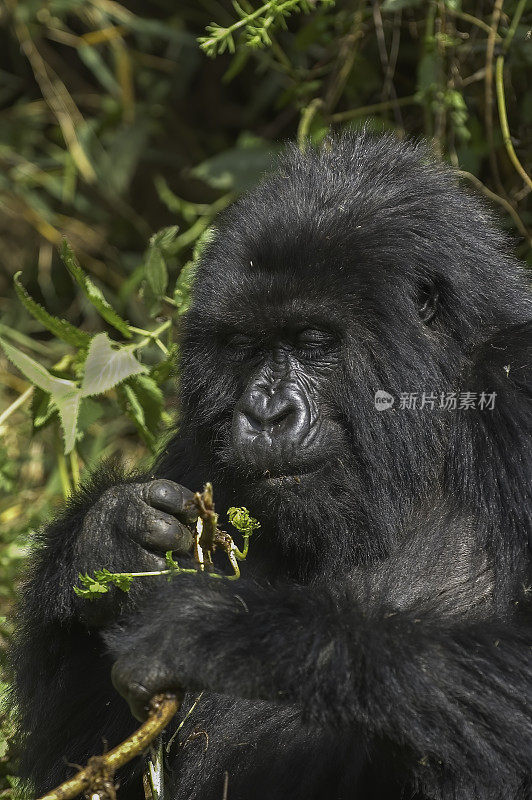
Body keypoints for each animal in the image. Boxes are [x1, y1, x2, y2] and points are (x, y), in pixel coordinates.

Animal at [14, 134, 528, 800]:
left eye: (312, 341)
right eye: (242, 346)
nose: (265, 413)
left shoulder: (518, 382)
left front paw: (222, 635)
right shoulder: (197, 449)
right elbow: (86, 756)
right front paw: (109, 537)